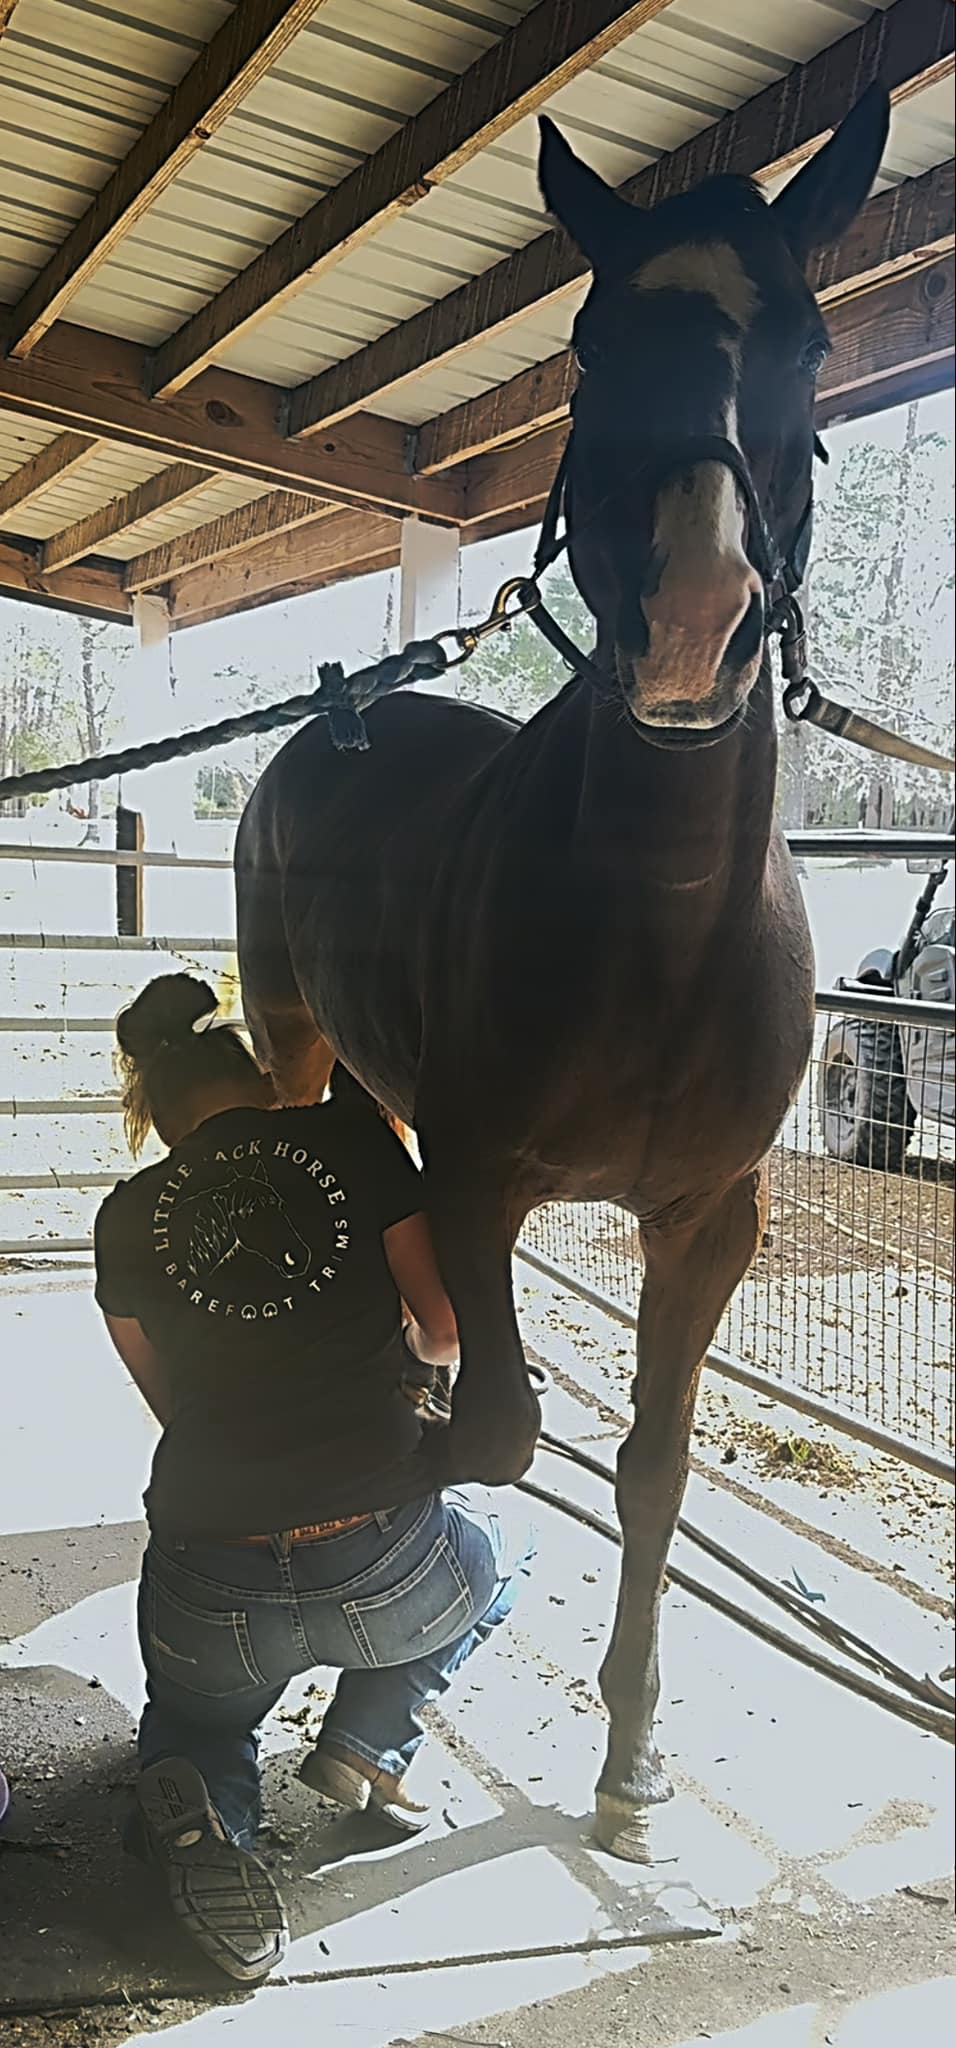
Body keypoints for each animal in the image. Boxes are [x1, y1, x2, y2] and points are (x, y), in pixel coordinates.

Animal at [235, 85, 889, 1861]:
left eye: (809, 343)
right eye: (594, 348)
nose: (696, 623)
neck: (657, 933)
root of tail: (344, 709)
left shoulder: (710, 1220)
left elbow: (650, 1465)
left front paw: (632, 1766)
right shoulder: (482, 1180)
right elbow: (504, 1427)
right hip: (296, 1037)